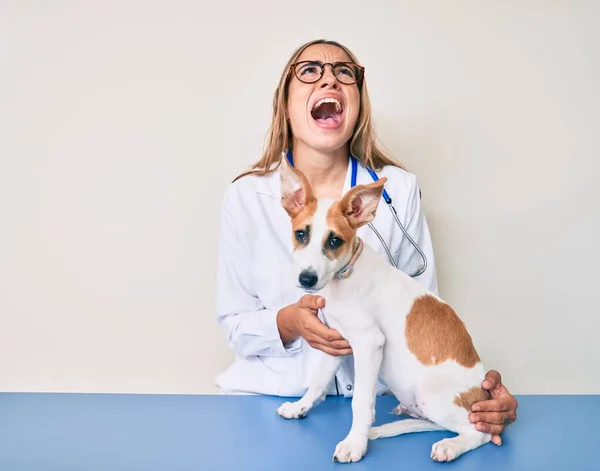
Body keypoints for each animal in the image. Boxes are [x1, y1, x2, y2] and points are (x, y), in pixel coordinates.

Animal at [276, 156, 492, 464]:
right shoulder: (335, 342)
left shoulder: (369, 343)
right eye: (301, 234)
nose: (307, 279)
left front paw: (354, 443)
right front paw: (300, 407)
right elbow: (318, 381)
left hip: (433, 396)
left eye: (334, 241)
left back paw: (450, 445)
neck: (346, 276)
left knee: (478, 432)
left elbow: (360, 401)